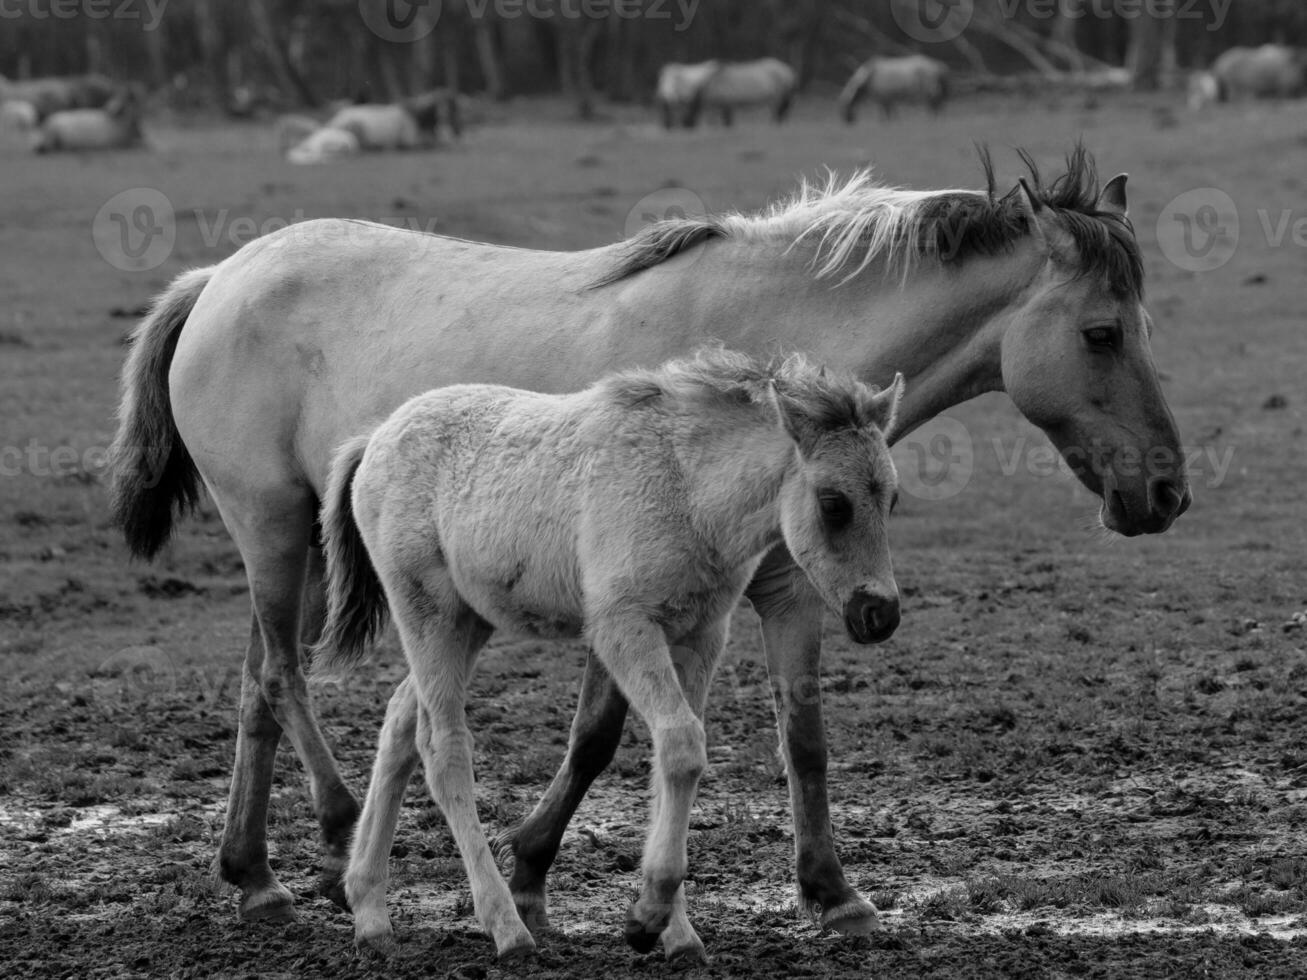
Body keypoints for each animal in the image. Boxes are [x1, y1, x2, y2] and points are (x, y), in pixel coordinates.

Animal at [318, 350, 909, 961]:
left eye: (891, 499)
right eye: (833, 503)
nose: (880, 613)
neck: (687, 486)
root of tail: (375, 437)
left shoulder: (701, 633)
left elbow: (674, 752)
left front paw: (674, 931)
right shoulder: (623, 626)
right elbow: (682, 744)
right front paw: (648, 916)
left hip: (467, 621)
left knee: (399, 722)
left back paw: (370, 912)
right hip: (428, 615)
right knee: (443, 749)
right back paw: (506, 927)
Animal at [653, 57, 794, 129]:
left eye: (687, 124)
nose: (667, 126)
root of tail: (789, 72)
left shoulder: (724, 105)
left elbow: (726, 123)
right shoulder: (724, 106)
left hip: (777, 100)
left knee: (777, 115)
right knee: (780, 115)